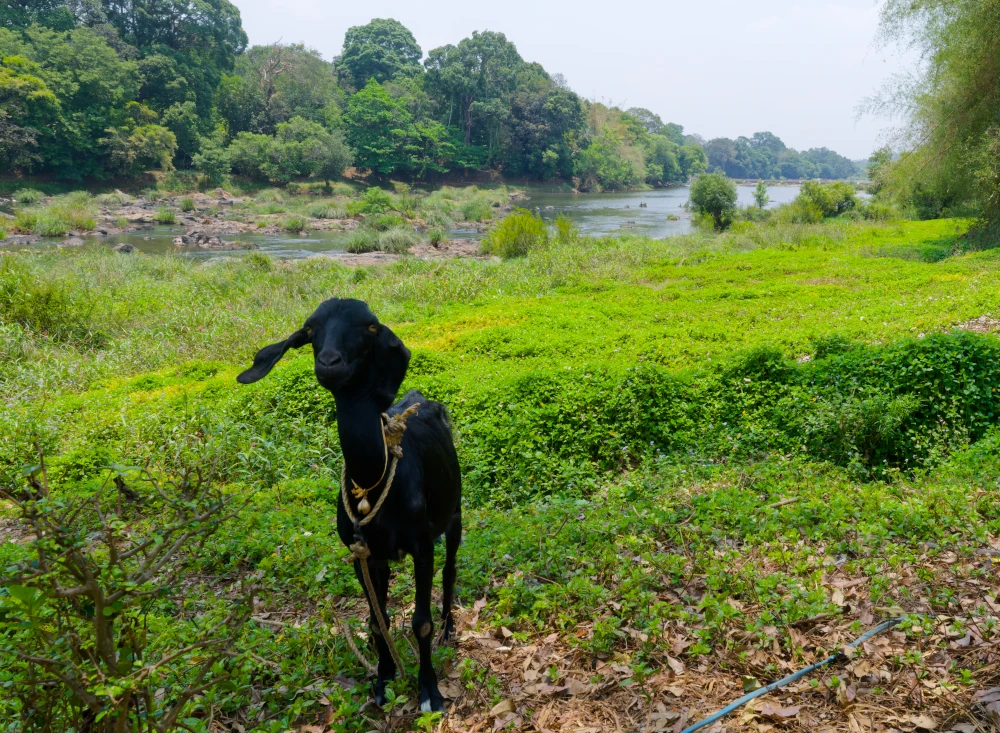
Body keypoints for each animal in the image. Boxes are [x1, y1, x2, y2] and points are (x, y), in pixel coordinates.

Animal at [237, 298, 462, 712]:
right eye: (310, 329)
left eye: (370, 327)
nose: (330, 362)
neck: (373, 482)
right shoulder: (362, 554)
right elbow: (376, 620)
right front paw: (384, 679)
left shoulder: (422, 547)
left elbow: (420, 621)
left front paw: (429, 691)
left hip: (454, 515)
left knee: (451, 569)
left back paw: (449, 627)